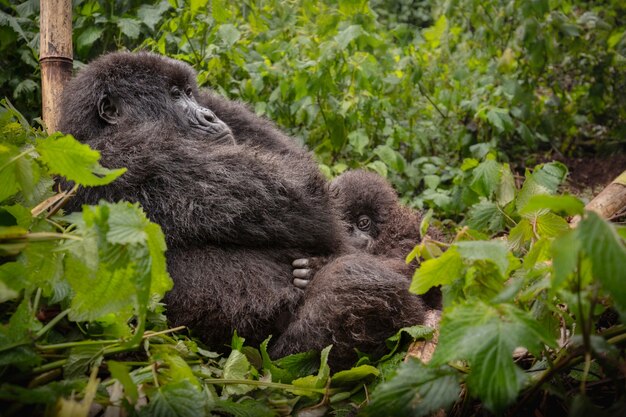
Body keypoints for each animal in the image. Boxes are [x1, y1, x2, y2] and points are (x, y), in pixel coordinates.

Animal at [59, 50, 428, 366]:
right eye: (175, 96)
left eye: (190, 92)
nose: (208, 116)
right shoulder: (122, 157)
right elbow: (307, 197)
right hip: (270, 357)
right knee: (352, 285)